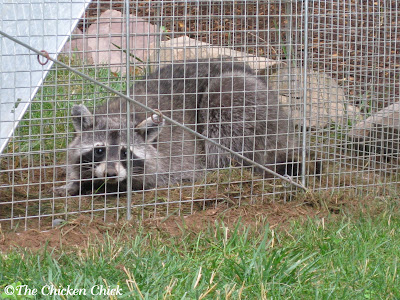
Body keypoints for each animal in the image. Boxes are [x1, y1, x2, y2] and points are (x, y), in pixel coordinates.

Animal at [54, 60, 302, 197]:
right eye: (99, 150)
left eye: (126, 153)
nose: (111, 174)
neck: (120, 114)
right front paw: (75, 183)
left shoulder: (175, 155)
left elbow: (162, 175)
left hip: (247, 104)